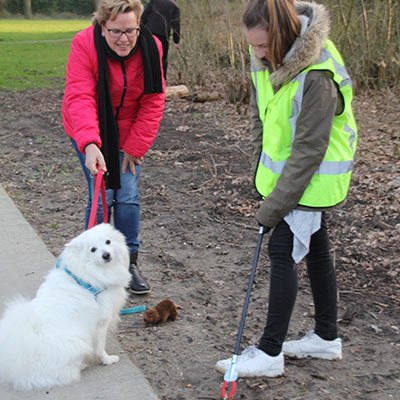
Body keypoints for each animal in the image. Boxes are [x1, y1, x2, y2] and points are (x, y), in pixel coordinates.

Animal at [0, 223, 131, 392]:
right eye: (93, 249)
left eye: (108, 242)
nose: (106, 255)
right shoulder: (100, 324)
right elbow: (100, 347)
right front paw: (107, 360)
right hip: (77, 342)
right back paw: (81, 365)